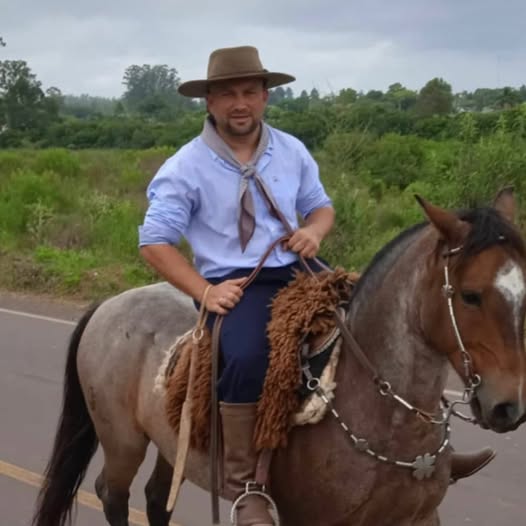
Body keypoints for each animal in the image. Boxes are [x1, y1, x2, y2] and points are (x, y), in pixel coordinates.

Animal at [32, 191, 526, 526]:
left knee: (157, 497)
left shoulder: (416, 518)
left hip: (173, 441)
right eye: (470, 295)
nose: (508, 406)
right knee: (113, 495)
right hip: (122, 441)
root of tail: (110, 304)